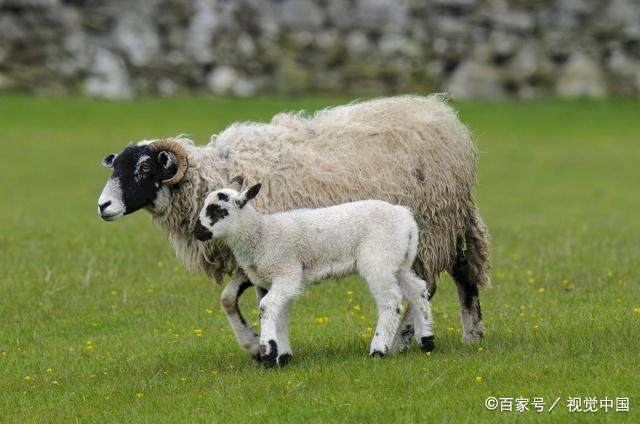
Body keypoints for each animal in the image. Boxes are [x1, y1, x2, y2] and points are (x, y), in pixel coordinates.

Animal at [195, 184, 436, 366]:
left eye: (218, 210)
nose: (197, 232)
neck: (261, 234)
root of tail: (405, 217)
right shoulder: (277, 281)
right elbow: (280, 314)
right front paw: (283, 355)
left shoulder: (287, 273)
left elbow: (266, 307)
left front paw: (269, 354)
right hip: (399, 261)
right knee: (417, 290)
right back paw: (427, 340)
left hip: (378, 259)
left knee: (391, 302)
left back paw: (378, 349)